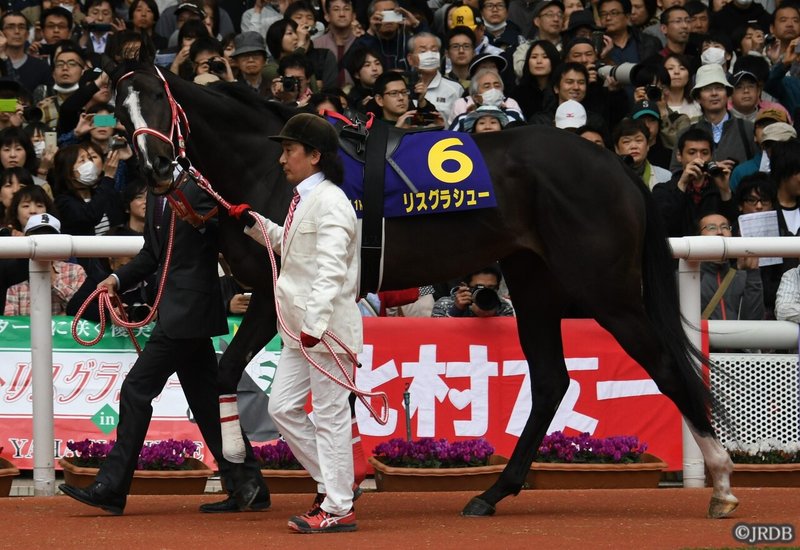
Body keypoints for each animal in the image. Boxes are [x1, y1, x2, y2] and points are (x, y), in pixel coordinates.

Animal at [111, 66, 736, 520]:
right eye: (121, 116)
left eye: (161, 102)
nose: (158, 170)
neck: (268, 167)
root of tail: (616, 166)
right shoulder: (292, 302)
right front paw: (309, 485)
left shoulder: (273, 293)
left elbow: (225, 373)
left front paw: (248, 476)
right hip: (534, 280)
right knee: (552, 380)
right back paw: (493, 493)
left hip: (604, 287)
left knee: (664, 366)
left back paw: (722, 481)